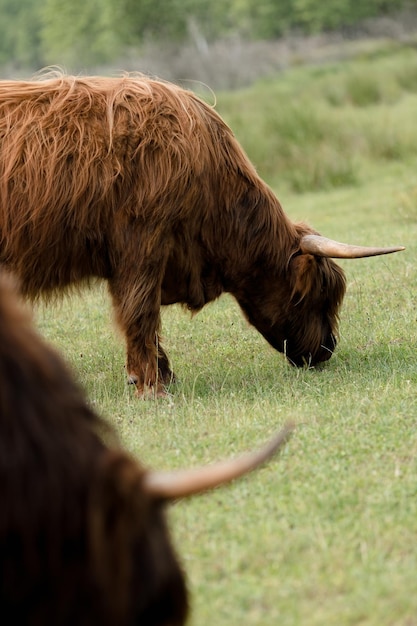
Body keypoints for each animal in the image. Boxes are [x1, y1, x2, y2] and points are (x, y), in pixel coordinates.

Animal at [0, 73, 404, 394]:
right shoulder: (142, 243)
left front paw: (161, 375)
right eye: (320, 294)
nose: (328, 348)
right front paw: (151, 386)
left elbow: (141, 316)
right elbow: (140, 311)